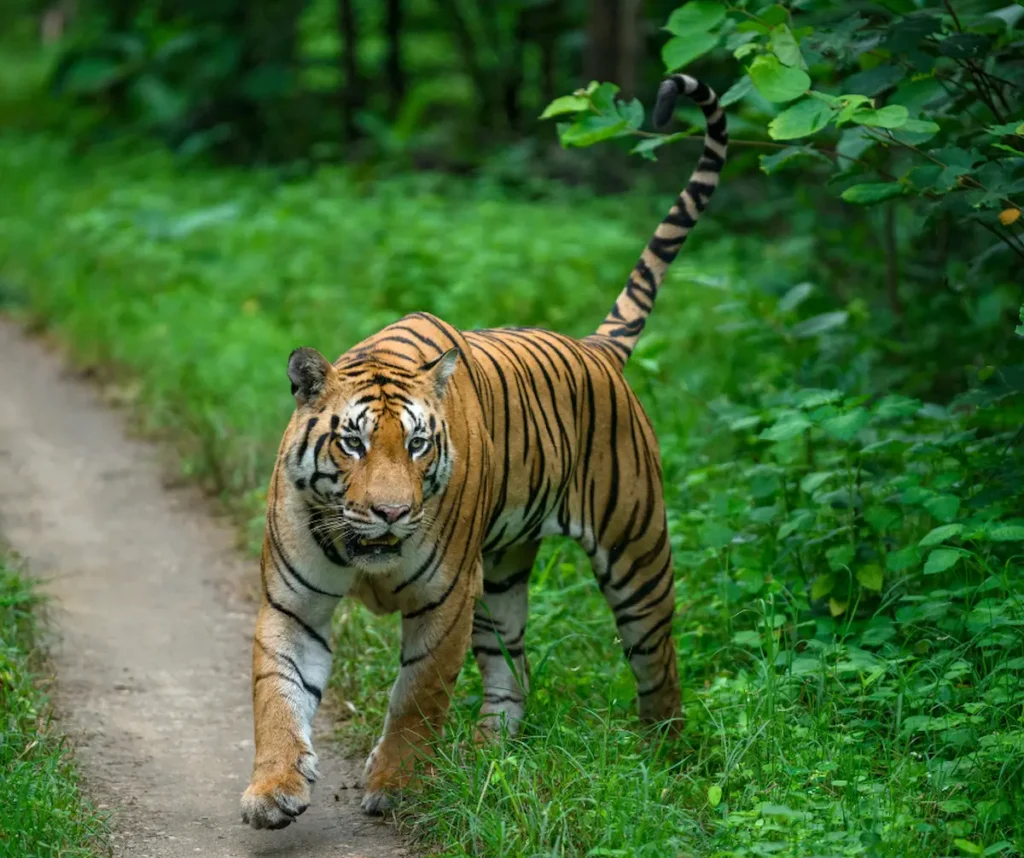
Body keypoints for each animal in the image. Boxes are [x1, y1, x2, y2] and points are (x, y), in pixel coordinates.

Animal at [237, 75, 729, 831]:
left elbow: (417, 697)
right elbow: (276, 695)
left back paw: (663, 760)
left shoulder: (446, 600)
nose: (389, 513)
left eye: (416, 444)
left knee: (659, 666)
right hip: (501, 578)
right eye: (352, 442)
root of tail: (596, 348)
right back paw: (487, 754)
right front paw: (273, 790)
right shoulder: (293, 602)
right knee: (515, 669)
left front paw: (396, 784)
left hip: (636, 555)